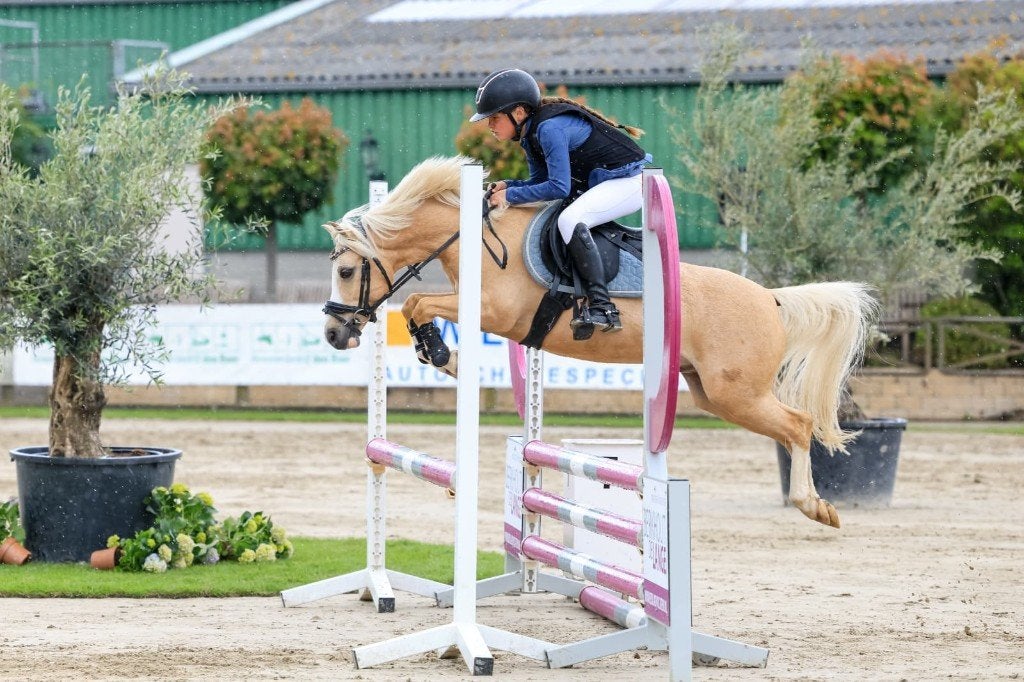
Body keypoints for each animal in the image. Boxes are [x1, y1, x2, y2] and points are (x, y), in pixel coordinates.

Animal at [322, 156, 878, 529]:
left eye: (347, 272)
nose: (333, 334)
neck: (473, 237)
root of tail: (770, 298)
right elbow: (416, 305)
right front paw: (440, 354)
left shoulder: (496, 312)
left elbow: (417, 304)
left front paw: (443, 355)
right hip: (709, 391)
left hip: (736, 394)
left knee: (799, 426)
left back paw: (815, 507)